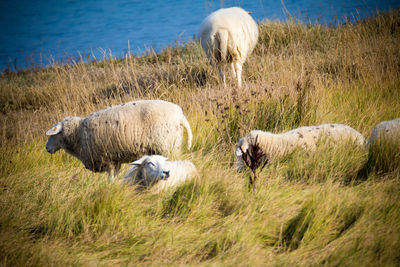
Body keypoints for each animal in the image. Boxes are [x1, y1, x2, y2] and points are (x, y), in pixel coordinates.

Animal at [45, 99, 192, 179]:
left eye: (53, 134)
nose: (47, 148)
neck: (79, 134)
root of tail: (180, 116)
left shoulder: (106, 160)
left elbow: (110, 179)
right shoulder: (115, 160)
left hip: (167, 146)